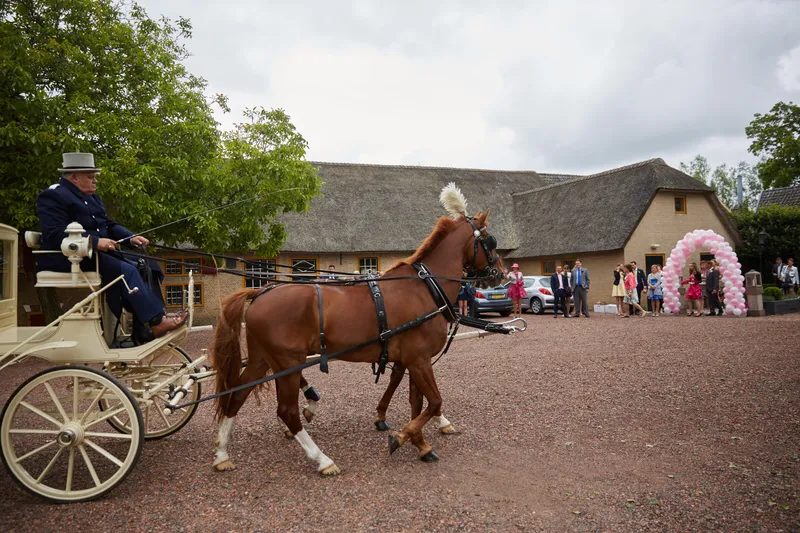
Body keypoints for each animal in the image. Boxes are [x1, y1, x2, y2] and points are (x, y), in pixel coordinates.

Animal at [210, 183, 503, 475]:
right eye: (490, 241)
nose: (500, 274)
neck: (425, 288)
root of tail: (261, 292)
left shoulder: (414, 360)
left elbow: (417, 403)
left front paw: (420, 444)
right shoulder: (419, 360)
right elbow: (434, 402)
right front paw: (401, 437)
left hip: (263, 359)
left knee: (238, 395)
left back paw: (222, 453)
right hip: (287, 362)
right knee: (286, 411)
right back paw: (322, 459)